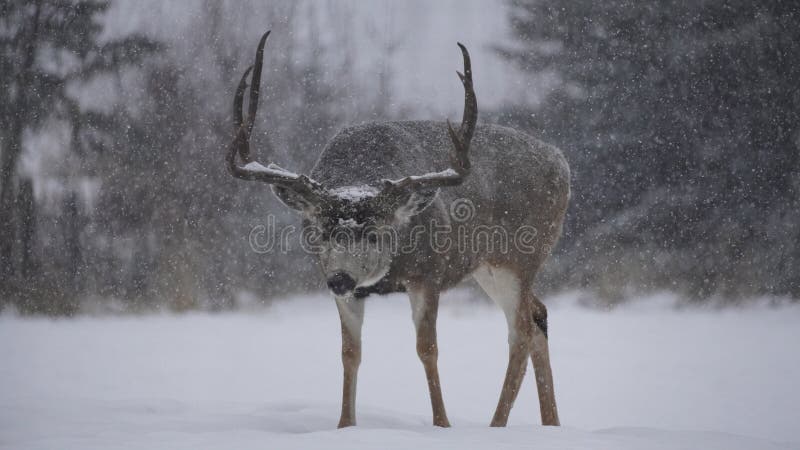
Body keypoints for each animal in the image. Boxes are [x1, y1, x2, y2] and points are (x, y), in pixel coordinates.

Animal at [225, 31, 570, 429]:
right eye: (323, 231)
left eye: (375, 233)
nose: (340, 278)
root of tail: (563, 162)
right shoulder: (345, 290)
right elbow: (350, 352)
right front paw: (344, 426)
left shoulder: (428, 274)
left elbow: (427, 348)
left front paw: (442, 425)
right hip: (488, 267)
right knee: (538, 315)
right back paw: (550, 424)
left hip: (521, 256)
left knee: (521, 331)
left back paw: (496, 424)